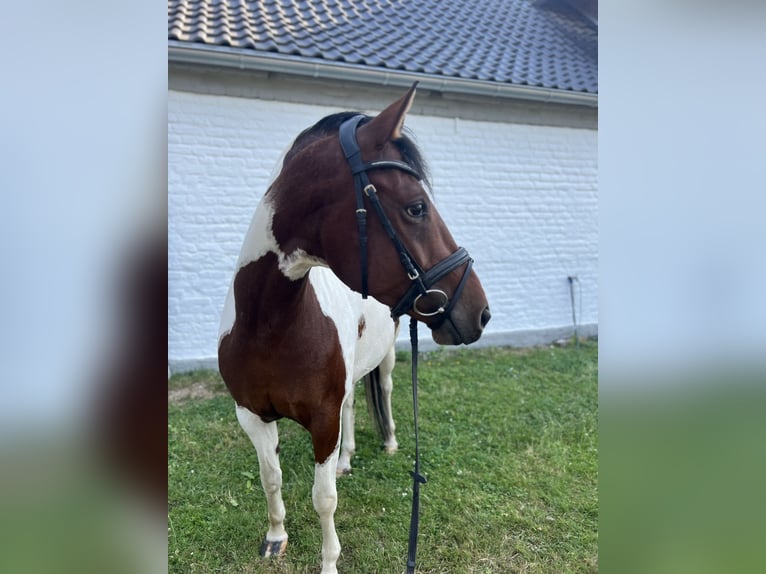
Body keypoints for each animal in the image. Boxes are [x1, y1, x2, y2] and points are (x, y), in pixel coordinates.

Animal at [217, 84, 490, 574]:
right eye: (416, 207)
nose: (480, 312)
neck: (269, 327)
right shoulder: (251, 414)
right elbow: (271, 478)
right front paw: (275, 537)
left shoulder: (321, 420)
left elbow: (323, 498)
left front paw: (328, 562)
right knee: (350, 407)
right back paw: (346, 460)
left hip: (387, 360)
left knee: (383, 393)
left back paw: (389, 444)